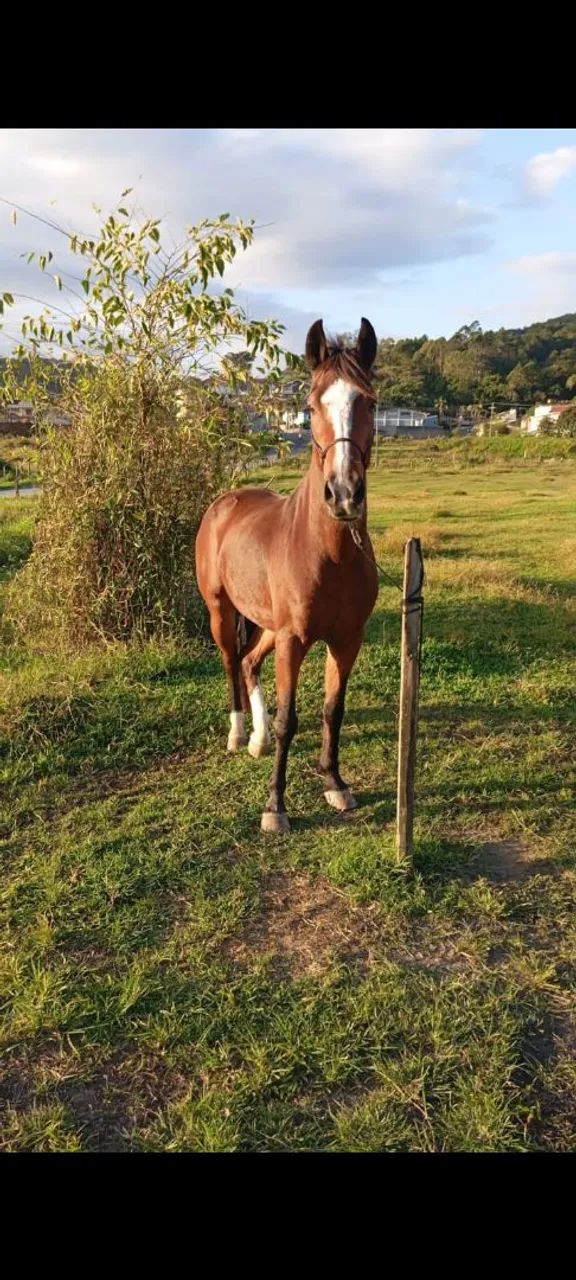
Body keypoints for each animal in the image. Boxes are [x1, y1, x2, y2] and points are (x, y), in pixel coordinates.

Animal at [195, 317, 379, 833]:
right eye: (311, 405)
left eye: (370, 400)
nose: (344, 494)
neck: (331, 554)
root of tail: (225, 502)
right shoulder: (295, 640)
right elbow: (288, 721)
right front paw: (275, 805)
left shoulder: (346, 639)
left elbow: (333, 710)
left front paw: (334, 782)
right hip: (222, 613)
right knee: (231, 663)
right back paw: (240, 734)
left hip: (270, 628)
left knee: (250, 663)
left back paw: (256, 740)